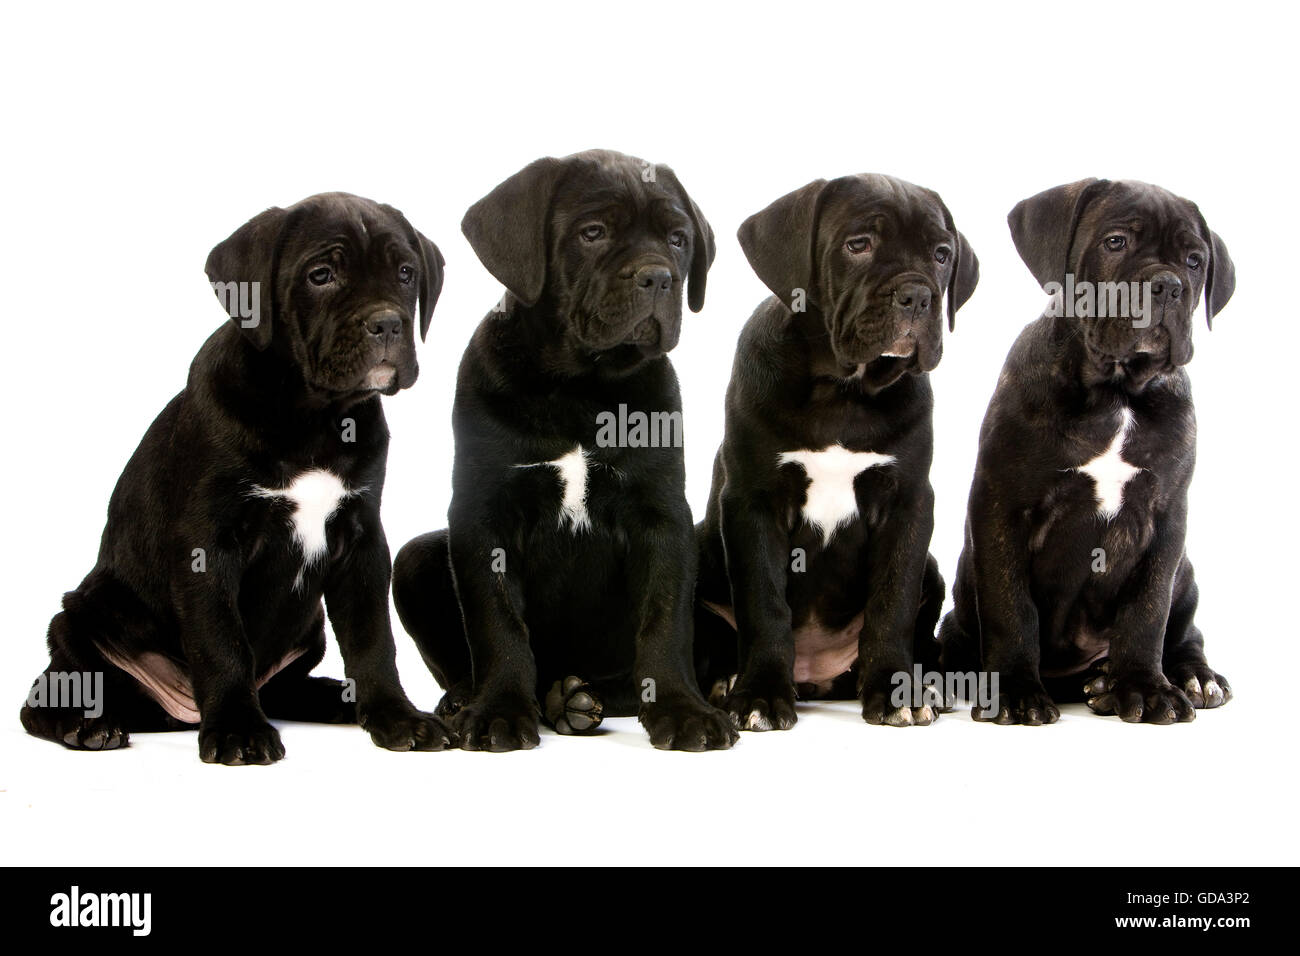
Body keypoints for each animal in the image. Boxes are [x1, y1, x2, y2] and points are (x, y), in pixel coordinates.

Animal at [19, 192, 457, 764]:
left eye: (405, 273)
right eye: (321, 275)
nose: (386, 323)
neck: (312, 415)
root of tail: (173, 714)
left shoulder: (362, 539)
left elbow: (373, 639)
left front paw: (396, 716)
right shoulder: (208, 543)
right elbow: (221, 640)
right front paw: (237, 731)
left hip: (308, 631)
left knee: (284, 687)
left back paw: (337, 698)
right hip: (79, 619)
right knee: (47, 694)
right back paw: (86, 726)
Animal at [390, 147, 738, 749]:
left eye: (677, 238)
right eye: (592, 232)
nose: (659, 276)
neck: (580, 386)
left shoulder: (662, 516)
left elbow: (664, 621)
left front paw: (681, 709)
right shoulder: (485, 514)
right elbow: (498, 622)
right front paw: (500, 711)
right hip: (414, 558)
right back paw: (484, 700)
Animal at [696, 175, 977, 733]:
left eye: (941, 255)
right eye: (858, 245)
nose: (918, 294)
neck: (841, 391)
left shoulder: (908, 504)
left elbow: (893, 602)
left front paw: (895, 691)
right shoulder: (752, 502)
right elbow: (764, 603)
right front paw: (759, 695)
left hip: (935, 566)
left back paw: (931, 681)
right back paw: (728, 680)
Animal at [941, 178, 1232, 723]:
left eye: (1194, 260)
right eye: (1115, 242)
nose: (1169, 284)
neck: (1116, 391)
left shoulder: (1166, 519)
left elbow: (1148, 610)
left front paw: (1144, 687)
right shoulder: (1003, 508)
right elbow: (1011, 607)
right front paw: (1015, 692)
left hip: (1187, 572)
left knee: (1185, 630)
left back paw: (1188, 677)